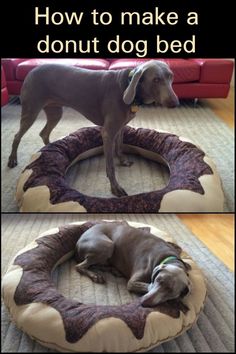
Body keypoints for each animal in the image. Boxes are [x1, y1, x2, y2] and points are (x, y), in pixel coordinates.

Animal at [7, 59, 179, 198]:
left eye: (171, 76)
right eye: (156, 79)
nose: (175, 103)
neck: (129, 87)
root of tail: (32, 71)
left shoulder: (120, 127)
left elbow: (120, 146)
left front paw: (123, 160)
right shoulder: (107, 132)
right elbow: (110, 165)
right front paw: (115, 188)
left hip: (55, 111)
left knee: (43, 133)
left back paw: (53, 149)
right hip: (31, 110)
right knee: (17, 136)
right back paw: (12, 159)